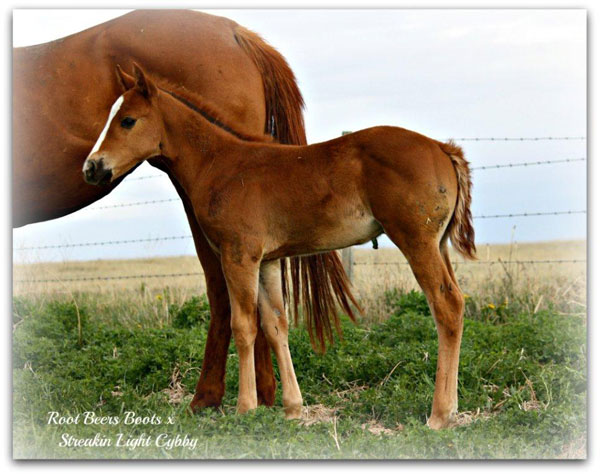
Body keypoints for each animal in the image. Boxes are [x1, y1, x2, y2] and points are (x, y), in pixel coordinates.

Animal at [84, 65, 476, 430]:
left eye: (128, 120)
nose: (92, 167)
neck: (219, 163)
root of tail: (443, 148)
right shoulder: (268, 261)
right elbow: (275, 325)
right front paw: (292, 408)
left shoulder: (239, 255)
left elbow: (244, 325)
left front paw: (245, 407)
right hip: (437, 244)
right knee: (455, 304)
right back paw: (452, 407)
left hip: (416, 241)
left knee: (446, 306)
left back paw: (440, 414)